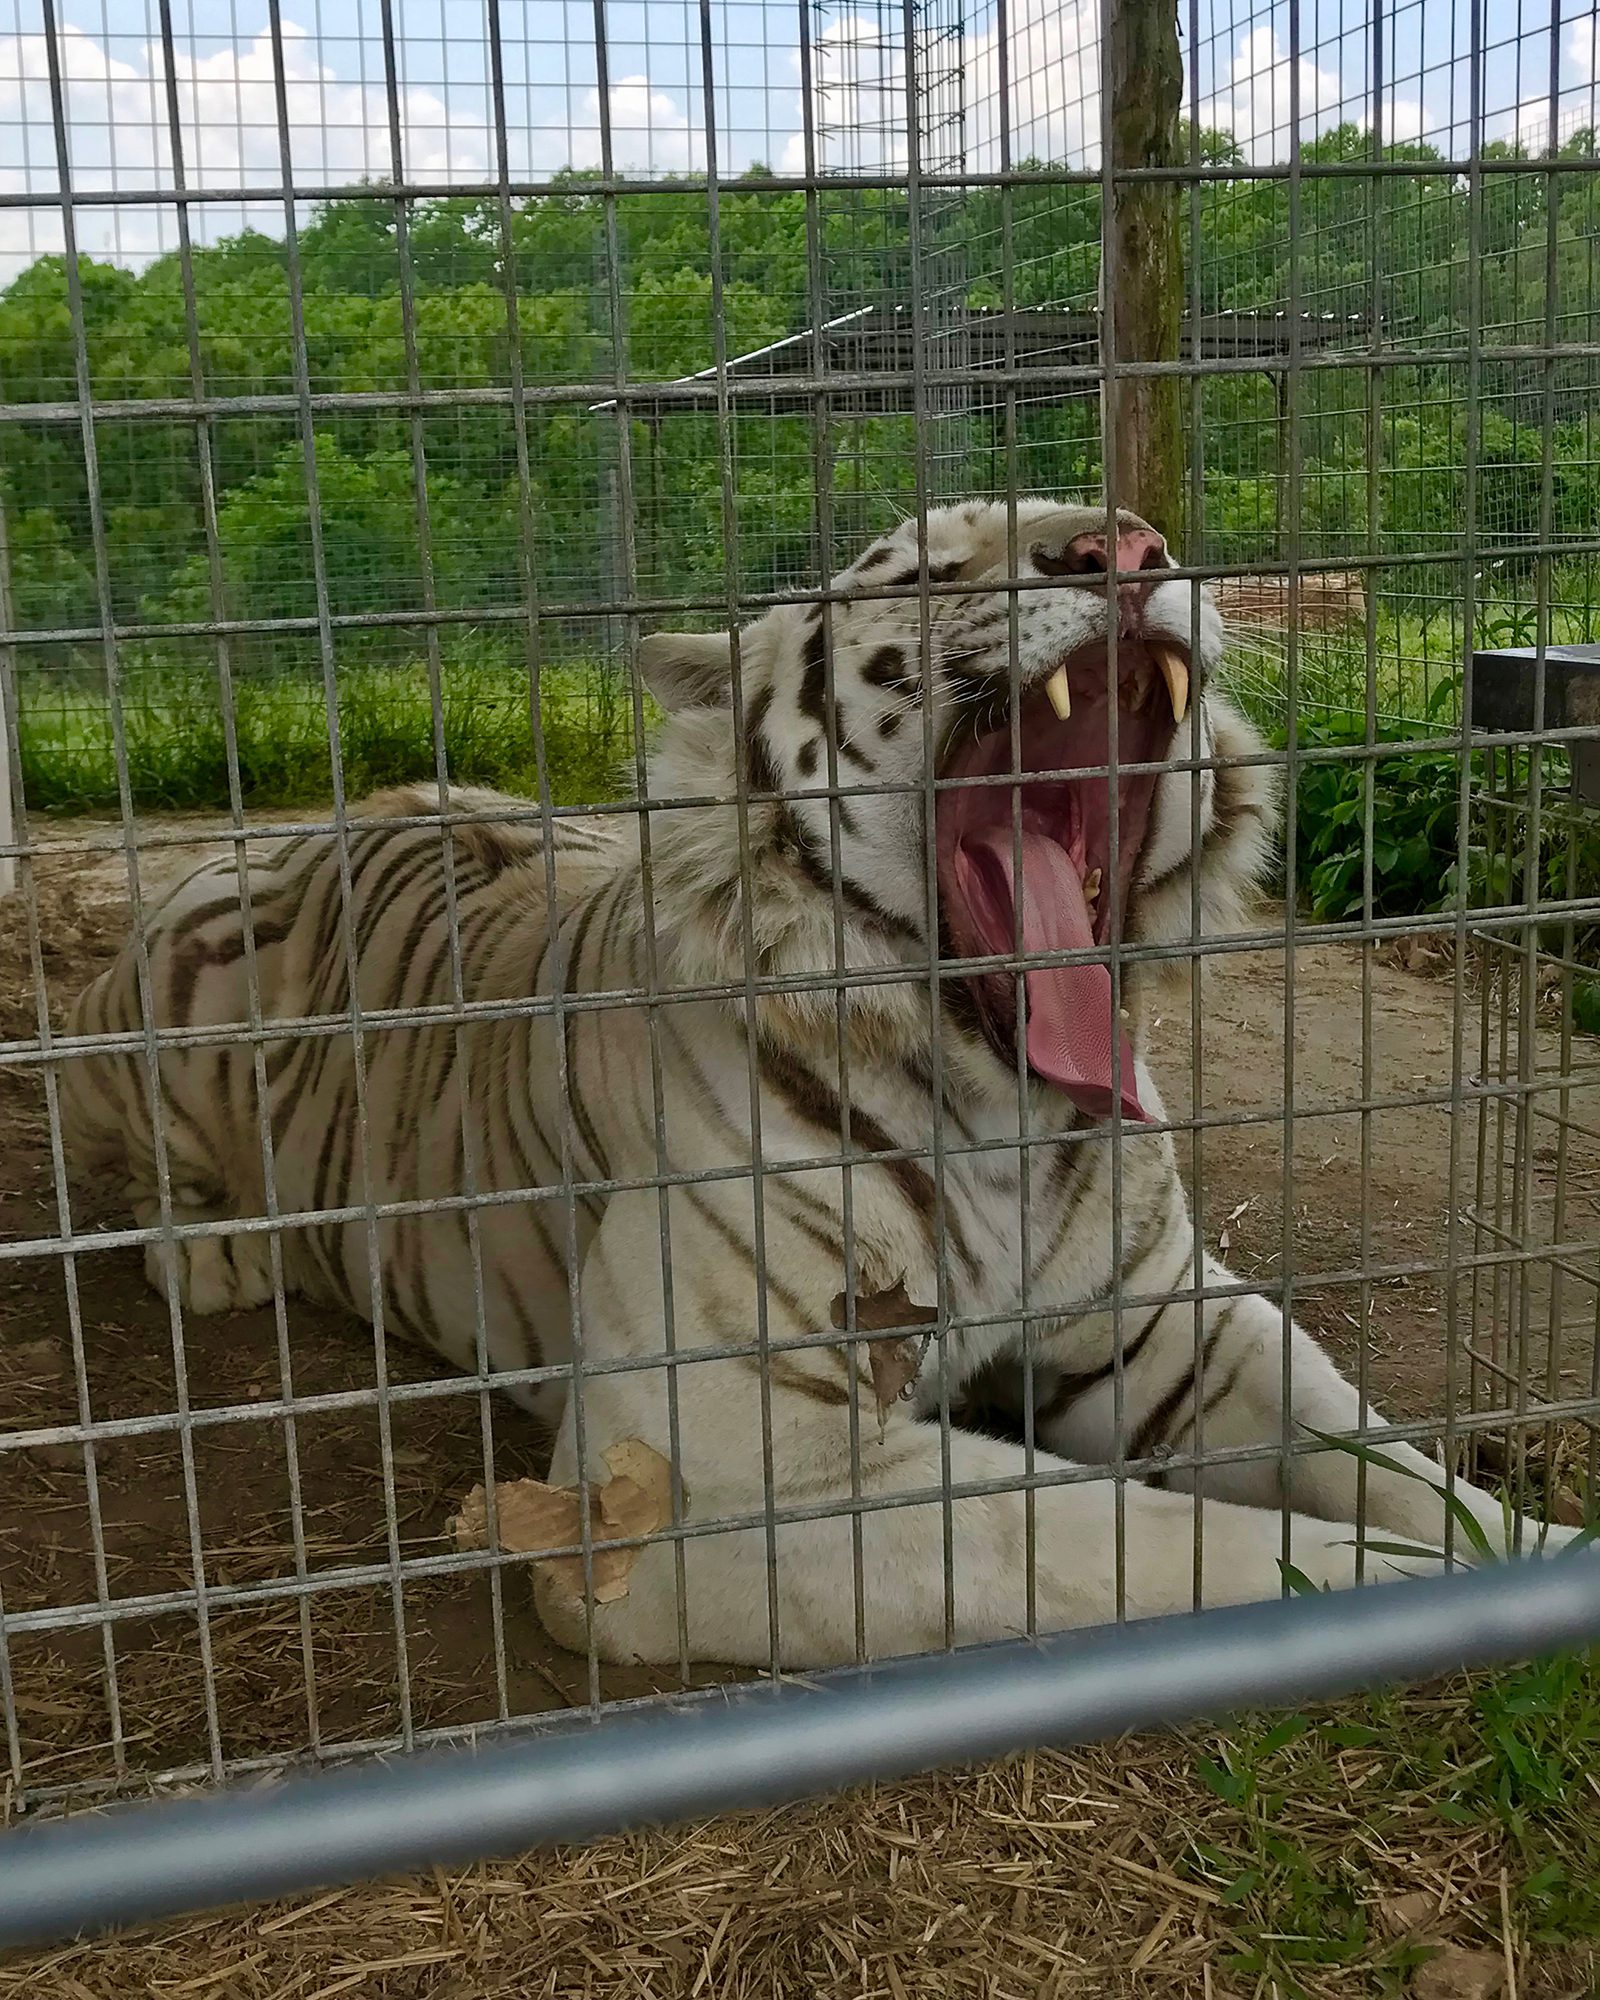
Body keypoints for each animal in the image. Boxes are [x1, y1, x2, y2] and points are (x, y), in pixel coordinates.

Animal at [59, 504, 1576, 1672]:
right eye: (927, 571)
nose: (1130, 549)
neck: (999, 1097)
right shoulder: (713, 1467)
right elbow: (1152, 1539)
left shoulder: (1173, 1328)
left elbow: (1390, 1461)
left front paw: (1547, 1543)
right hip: (168, 976)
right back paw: (215, 1251)